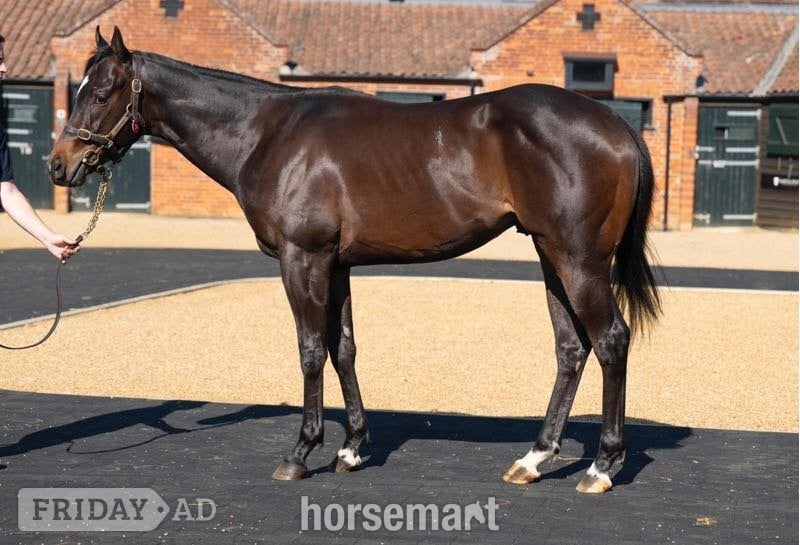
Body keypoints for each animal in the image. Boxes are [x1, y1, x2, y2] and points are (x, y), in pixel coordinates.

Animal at [49, 27, 661, 494]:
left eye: (101, 93)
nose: (59, 165)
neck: (267, 134)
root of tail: (617, 124)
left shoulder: (302, 259)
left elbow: (310, 351)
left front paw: (302, 452)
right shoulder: (336, 264)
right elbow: (343, 349)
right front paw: (351, 450)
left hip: (578, 259)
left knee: (610, 340)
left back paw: (602, 467)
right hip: (549, 254)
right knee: (571, 348)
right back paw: (534, 459)